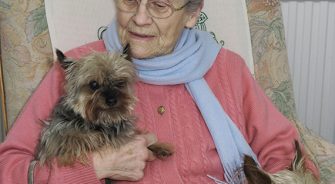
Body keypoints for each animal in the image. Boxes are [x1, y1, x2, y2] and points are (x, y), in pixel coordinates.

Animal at [36, 49, 173, 167]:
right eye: (93, 84)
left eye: (120, 82)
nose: (111, 100)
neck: (104, 119)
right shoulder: (56, 137)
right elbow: (81, 138)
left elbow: (134, 133)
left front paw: (160, 147)